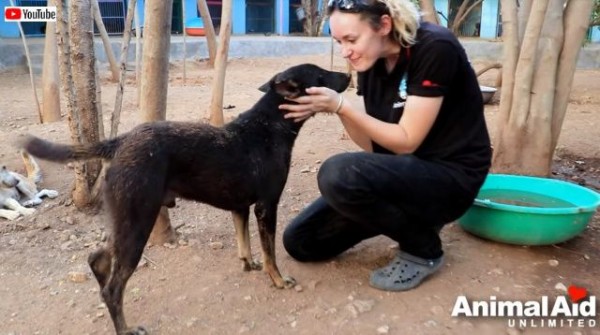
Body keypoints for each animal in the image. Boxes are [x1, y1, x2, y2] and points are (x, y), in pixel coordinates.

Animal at [22, 63, 352, 335]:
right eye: (321, 75)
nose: (350, 76)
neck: (270, 126)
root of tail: (121, 141)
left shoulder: (240, 207)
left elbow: (244, 243)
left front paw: (249, 264)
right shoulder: (266, 206)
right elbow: (270, 252)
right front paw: (278, 280)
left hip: (124, 218)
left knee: (99, 258)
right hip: (138, 223)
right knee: (114, 288)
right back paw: (125, 328)